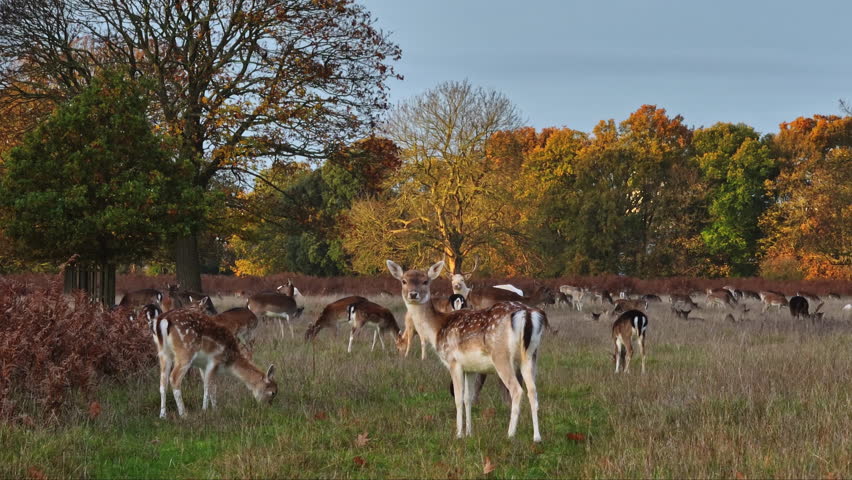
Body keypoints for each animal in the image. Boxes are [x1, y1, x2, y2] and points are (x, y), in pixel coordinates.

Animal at [146, 307, 277, 418]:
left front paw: (210, 408)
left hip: (163, 352)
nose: (269, 407)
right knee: (174, 378)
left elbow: (207, 385)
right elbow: (210, 387)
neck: (229, 363)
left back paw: (162, 415)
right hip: (185, 351)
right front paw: (209, 410)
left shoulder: (202, 366)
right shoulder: (214, 361)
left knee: (163, 382)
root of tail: (162, 320)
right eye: (273, 392)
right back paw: (183, 414)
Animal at [388, 260, 546, 442]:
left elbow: (457, 398)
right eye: (404, 281)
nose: (413, 294)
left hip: (501, 356)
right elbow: (468, 398)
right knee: (533, 392)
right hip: (531, 355)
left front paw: (458, 434)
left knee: (517, 390)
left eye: (425, 281)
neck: (437, 329)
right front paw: (469, 432)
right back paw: (537, 437)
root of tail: (527, 314)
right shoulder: (471, 368)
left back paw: (510, 434)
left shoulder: (453, 361)